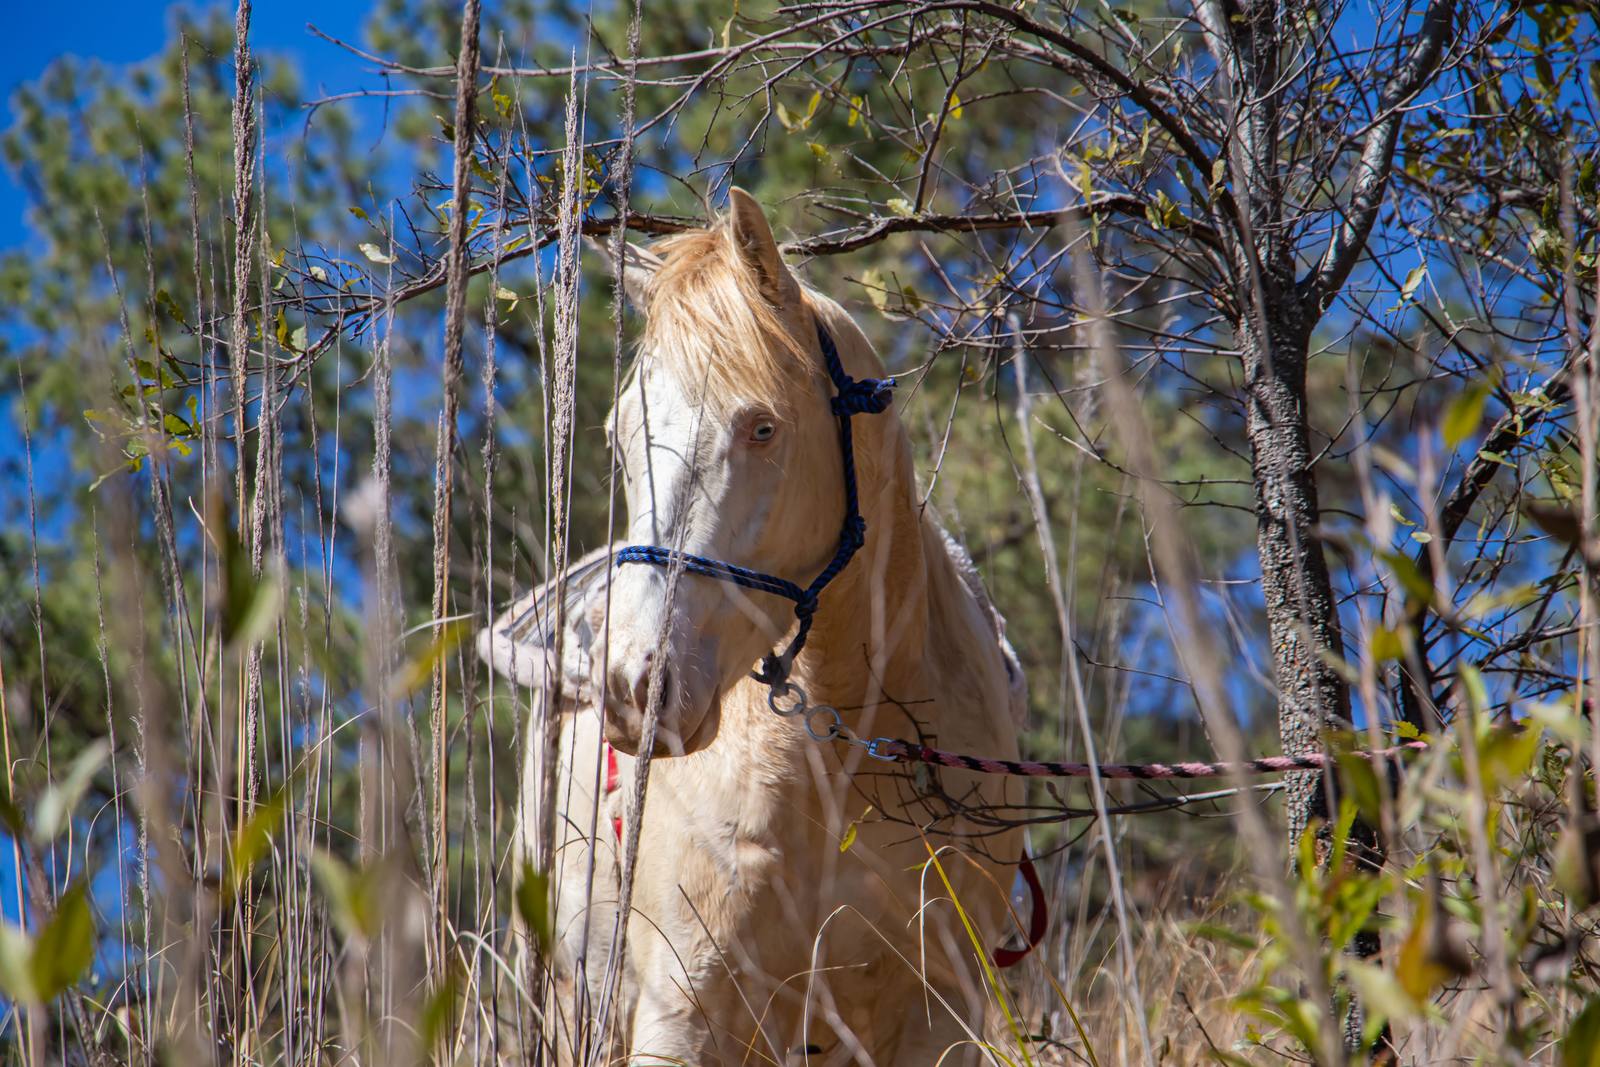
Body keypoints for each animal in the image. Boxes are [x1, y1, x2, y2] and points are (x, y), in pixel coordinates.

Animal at [478, 189, 1031, 1065]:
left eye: (762, 427)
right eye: (619, 437)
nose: (635, 683)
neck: (853, 748)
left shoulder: (942, 1010)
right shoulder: (683, 1007)